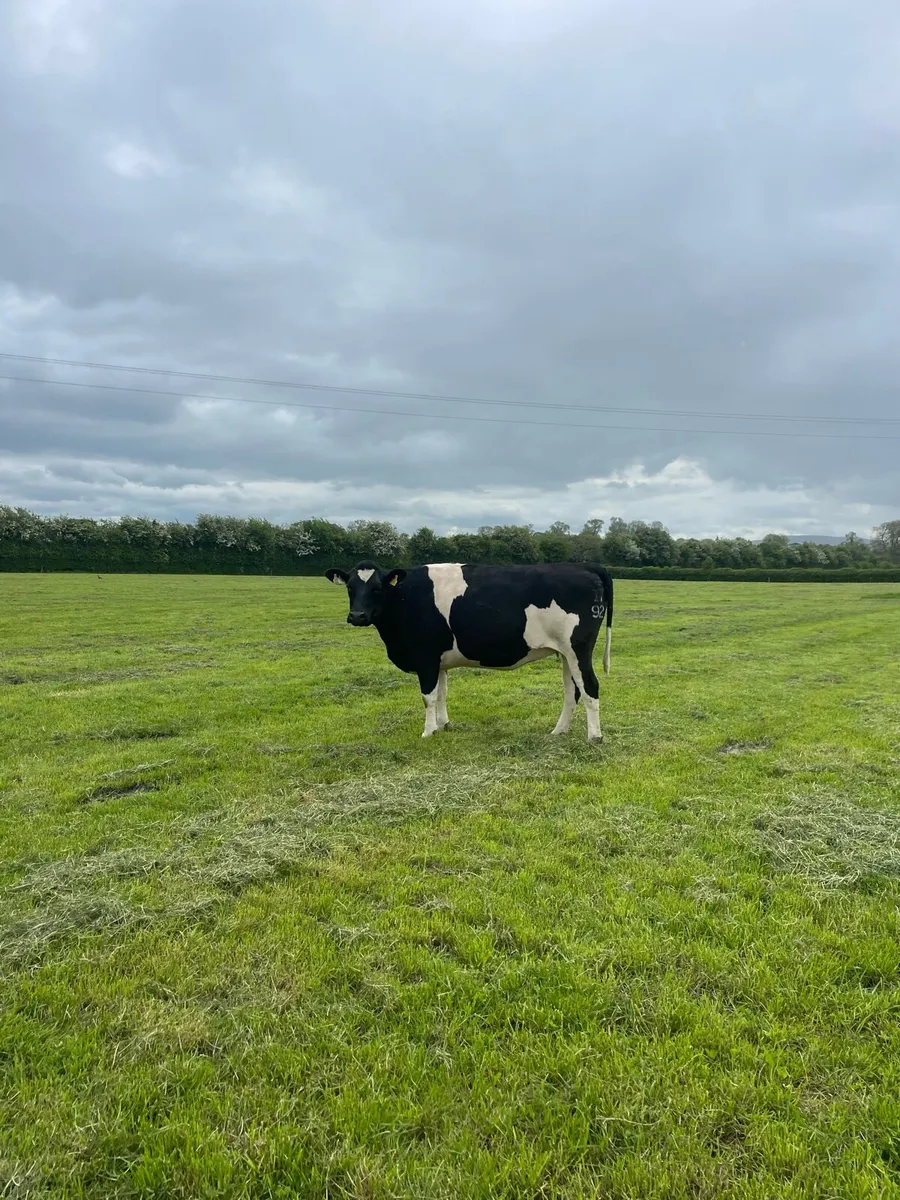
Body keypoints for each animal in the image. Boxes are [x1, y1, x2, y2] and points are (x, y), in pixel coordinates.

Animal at [324, 561, 614, 742]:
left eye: (377, 588)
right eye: (350, 587)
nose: (357, 616)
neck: (404, 597)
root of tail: (584, 566)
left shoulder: (425, 658)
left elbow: (428, 697)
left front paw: (428, 732)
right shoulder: (438, 661)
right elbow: (442, 693)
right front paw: (443, 725)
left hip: (577, 649)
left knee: (590, 686)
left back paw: (594, 737)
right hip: (565, 653)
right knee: (572, 691)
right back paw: (559, 731)